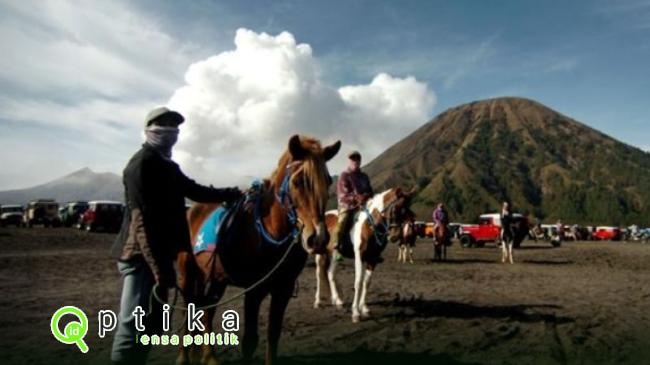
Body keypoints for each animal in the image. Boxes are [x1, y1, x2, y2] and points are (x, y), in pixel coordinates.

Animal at [177, 135, 340, 364]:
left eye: (328, 181)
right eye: (298, 182)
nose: (318, 238)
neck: (270, 232)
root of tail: (192, 210)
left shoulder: (283, 289)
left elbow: (273, 333)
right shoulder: (254, 290)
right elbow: (250, 340)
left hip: (215, 277)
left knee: (208, 310)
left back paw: (209, 357)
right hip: (188, 274)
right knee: (188, 309)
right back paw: (183, 357)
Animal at [312, 188, 410, 322]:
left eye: (407, 211)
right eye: (395, 209)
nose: (395, 236)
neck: (369, 225)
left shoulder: (372, 258)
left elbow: (367, 282)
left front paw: (364, 308)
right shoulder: (359, 256)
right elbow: (358, 282)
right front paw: (355, 312)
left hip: (334, 255)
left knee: (330, 273)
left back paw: (338, 300)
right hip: (321, 254)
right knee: (319, 274)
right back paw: (318, 301)